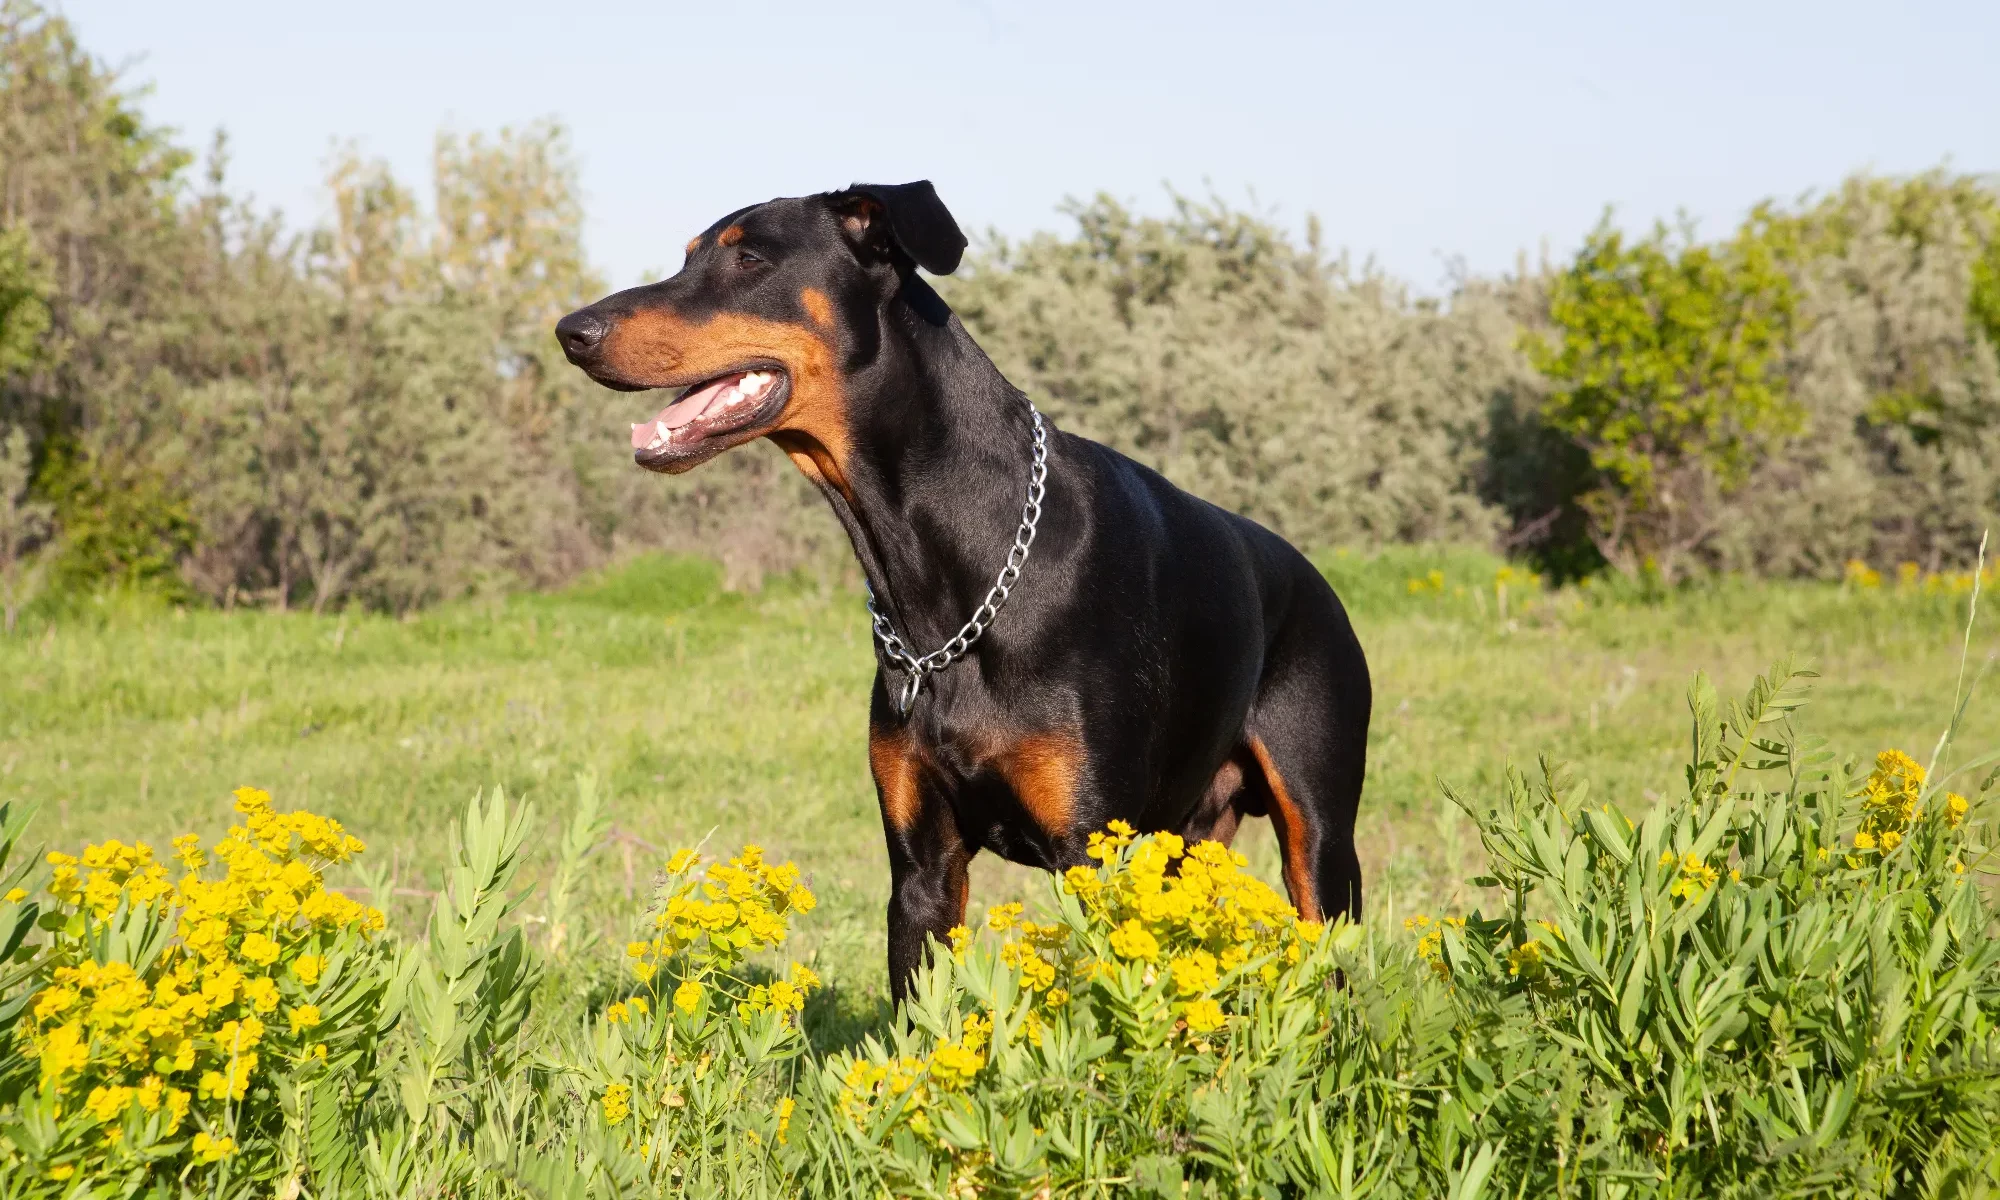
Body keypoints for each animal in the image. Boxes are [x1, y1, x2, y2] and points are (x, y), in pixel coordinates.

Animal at [564, 180, 1376, 1004]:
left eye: (751, 258)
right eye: (688, 255)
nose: (572, 331)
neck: (946, 581)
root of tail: (1316, 580)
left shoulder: (1090, 848)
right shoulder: (923, 864)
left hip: (1318, 838)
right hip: (1185, 839)